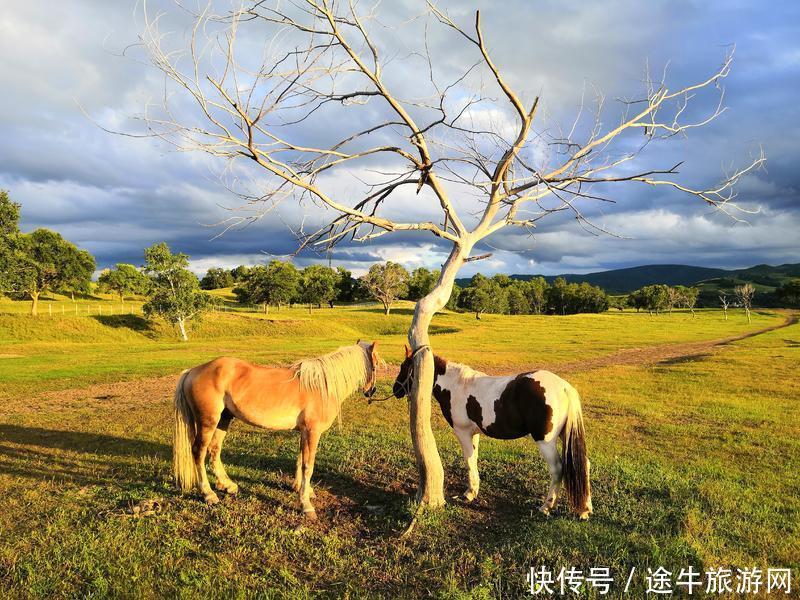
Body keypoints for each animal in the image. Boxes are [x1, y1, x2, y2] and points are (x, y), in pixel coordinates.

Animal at [172, 340, 378, 516]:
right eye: (375, 364)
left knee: (214, 450)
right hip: (208, 423)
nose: (371, 391)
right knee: (198, 452)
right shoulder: (312, 432)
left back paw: (227, 485)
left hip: (223, 420)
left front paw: (302, 490)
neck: (321, 386)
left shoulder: (304, 432)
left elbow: (300, 460)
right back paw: (208, 494)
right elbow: (308, 465)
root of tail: (192, 371)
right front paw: (306, 505)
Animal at [396, 346, 592, 520]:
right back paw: (585, 509)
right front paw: (473, 490)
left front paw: (469, 494)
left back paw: (546, 507)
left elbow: (468, 460)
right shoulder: (474, 433)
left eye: (404, 367)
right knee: (584, 464)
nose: (395, 389)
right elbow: (474, 458)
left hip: (545, 441)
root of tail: (565, 388)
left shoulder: (463, 432)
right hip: (565, 436)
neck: (457, 385)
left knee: (558, 469)